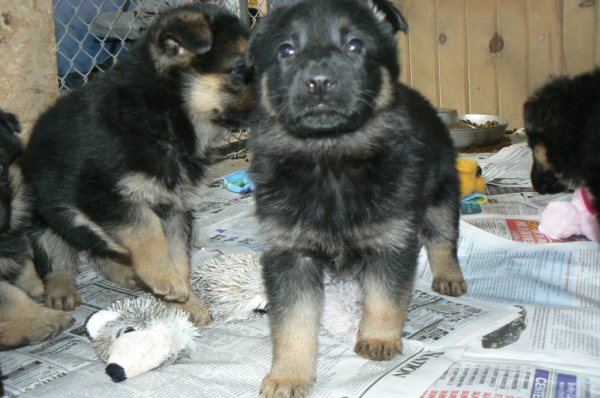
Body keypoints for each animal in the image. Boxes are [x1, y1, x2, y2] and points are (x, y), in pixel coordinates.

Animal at [0, 109, 74, 352]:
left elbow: (23, 265)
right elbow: (14, 298)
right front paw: (47, 315)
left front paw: (42, 285)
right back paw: (35, 328)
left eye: (0, 168)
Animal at [21, 3, 254, 326]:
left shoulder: (176, 208)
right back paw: (60, 289)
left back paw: (127, 273)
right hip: (42, 216)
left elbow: (178, 256)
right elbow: (146, 230)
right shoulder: (105, 196)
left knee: (99, 252)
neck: (162, 117)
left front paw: (185, 301)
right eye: (239, 69)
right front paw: (164, 278)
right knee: (55, 252)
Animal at [247, 0, 468, 394]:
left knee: (442, 239)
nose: (319, 81)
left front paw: (378, 338)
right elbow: (291, 323)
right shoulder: (290, 256)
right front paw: (288, 373)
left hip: (442, 193)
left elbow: (385, 298)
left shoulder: (391, 242)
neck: (330, 157)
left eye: (354, 46)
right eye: (286, 51)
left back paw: (449, 276)